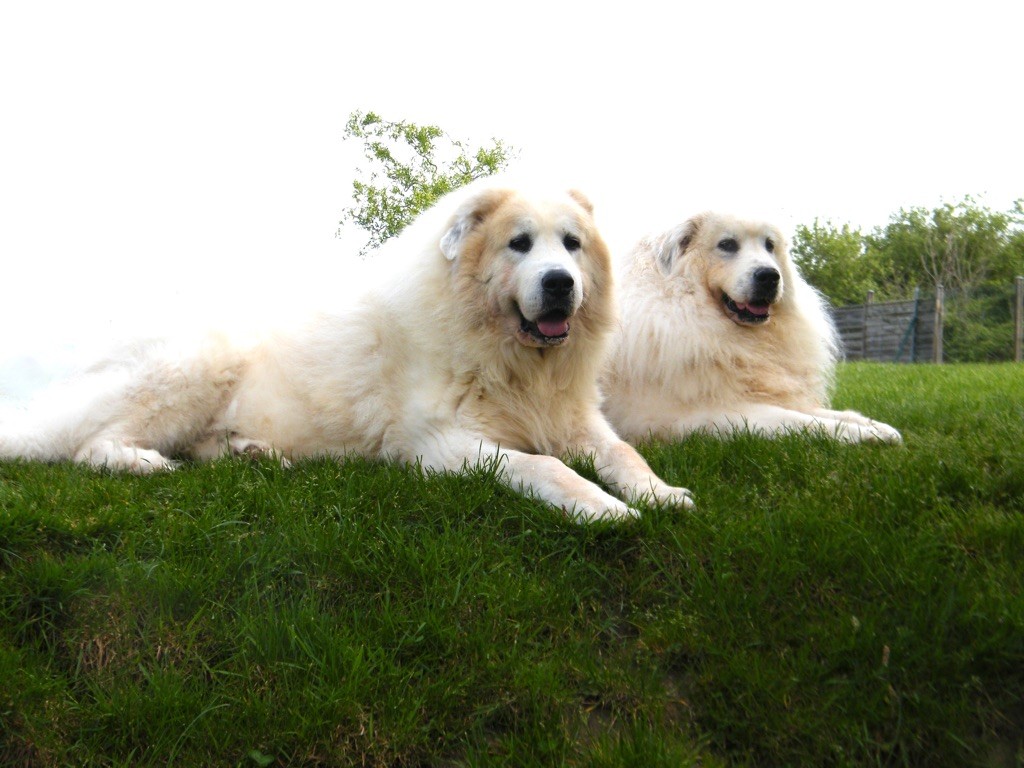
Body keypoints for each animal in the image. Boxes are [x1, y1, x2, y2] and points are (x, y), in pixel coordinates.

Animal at [0, 177, 696, 524]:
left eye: (572, 245)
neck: (510, 359)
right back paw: (143, 463)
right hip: (197, 362)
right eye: (519, 244)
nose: (560, 284)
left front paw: (662, 495)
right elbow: (548, 467)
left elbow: (624, 453)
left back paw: (251, 454)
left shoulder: (574, 420)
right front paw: (606, 510)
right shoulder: (440, 447)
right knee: (88, 446)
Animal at [602, 214, 901, 444]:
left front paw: (876, 427)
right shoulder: (695, 414)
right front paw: (862, 434)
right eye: (727, 244)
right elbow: (798, 420)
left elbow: (823, 412)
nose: (770, 276)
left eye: (769, 245)